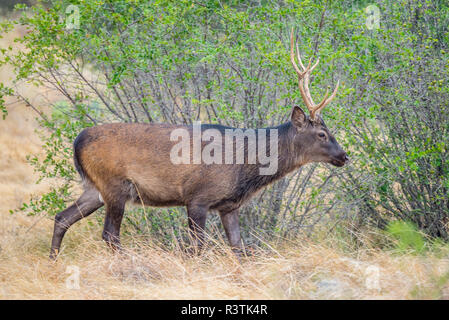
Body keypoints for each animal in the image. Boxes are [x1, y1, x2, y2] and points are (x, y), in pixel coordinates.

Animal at [50, 29, 350, 260]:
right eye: (322, 134)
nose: (345, 156)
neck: (245, 164)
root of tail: (77, 141)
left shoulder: (228, 205)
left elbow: (238, 247)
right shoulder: (197, 197)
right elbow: (197, 247)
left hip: (95, 188)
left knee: (61, 217)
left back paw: (53, 261)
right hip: (115, 185)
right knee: (110, 234)